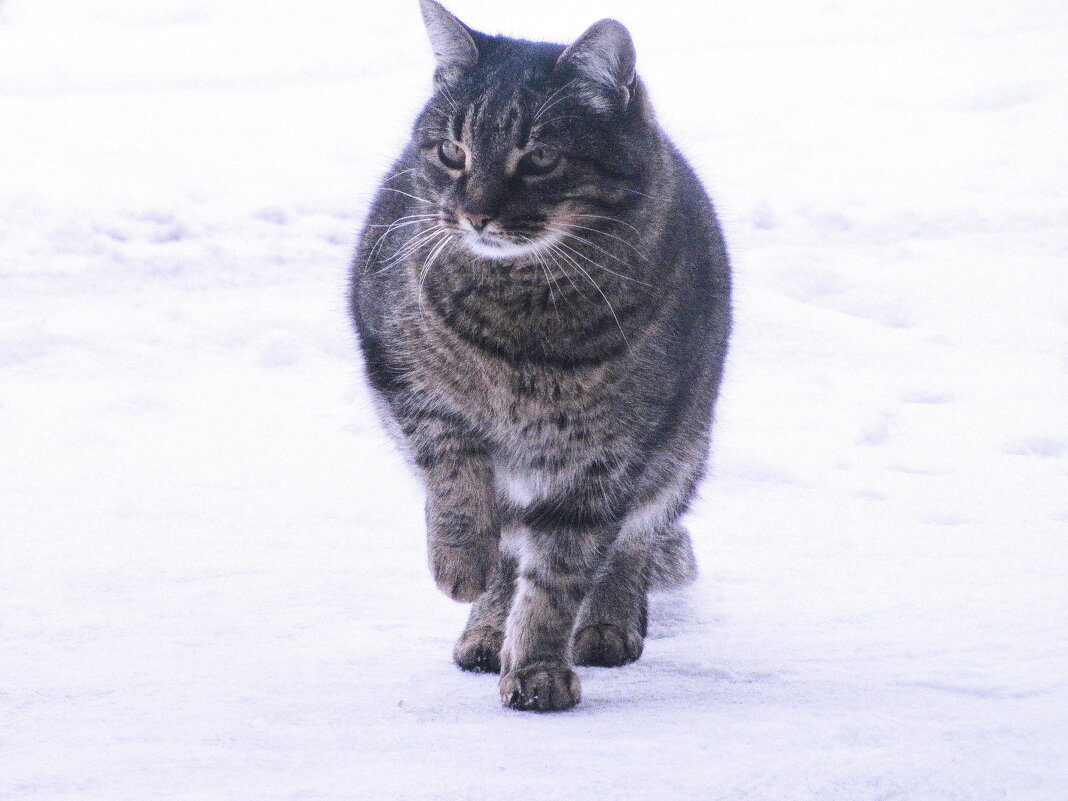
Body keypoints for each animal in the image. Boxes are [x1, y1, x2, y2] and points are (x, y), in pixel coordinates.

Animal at [352, 0, 734, 713]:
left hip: (677, 451)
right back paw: (482, 624)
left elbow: (560, 573)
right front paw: (460, 561)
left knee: (632, 541)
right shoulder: (405, 382)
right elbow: (456, 471)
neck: (523, 320)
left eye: (541, 158)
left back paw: (608, 623)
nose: (474, 213)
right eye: (451, 152)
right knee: (506, 544)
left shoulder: (607, 457)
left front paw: (537, 669)